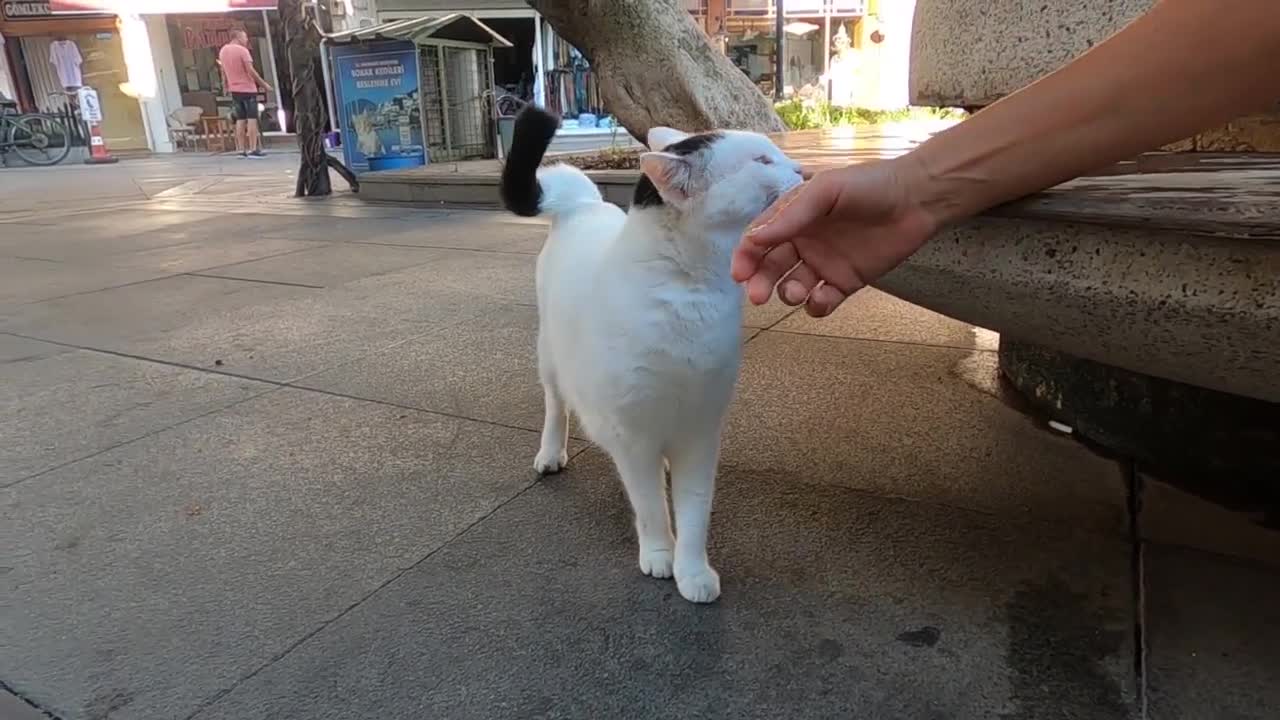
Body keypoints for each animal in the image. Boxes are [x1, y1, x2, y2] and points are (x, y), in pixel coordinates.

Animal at [499, 106, 798, 599]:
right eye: (762, 160)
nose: (802, 170)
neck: (689, 294)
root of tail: (584, 205)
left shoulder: (701, 431)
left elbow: (694, 510)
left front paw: (691, 570)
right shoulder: (632, 437)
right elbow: (651, 506)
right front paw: (660, 553)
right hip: (551, 362)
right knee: (556, 408)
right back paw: (551, 453)